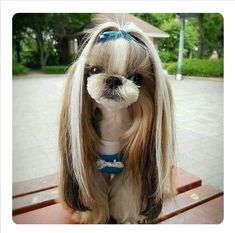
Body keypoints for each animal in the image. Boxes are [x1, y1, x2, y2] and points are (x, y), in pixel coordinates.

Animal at [58, 20, 175, 224]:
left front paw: (127, 217)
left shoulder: (132, 165)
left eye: (137, 78)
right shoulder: (89, 165)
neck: (113, 120)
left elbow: (127, 193)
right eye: (94, 70)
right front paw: (90, 216)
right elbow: (93, 192)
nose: (113, 79)